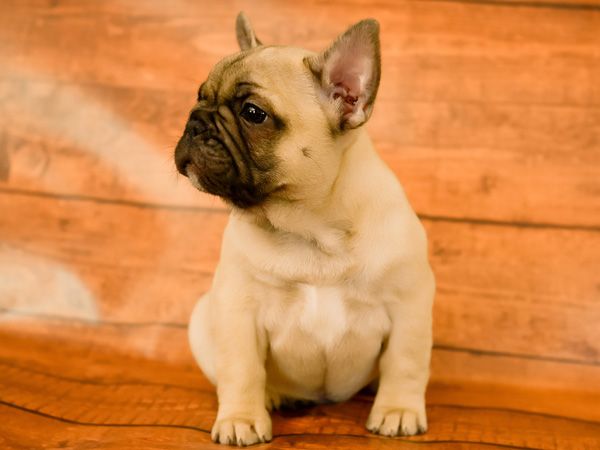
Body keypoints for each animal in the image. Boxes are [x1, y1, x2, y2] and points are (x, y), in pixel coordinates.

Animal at [174, 12, 435, 446]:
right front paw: (242, 418)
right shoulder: (237, 309)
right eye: (199, 95)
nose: (194, 123)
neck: (311, 228)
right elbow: (241, 369)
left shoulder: (409, 305)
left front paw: (398, 410)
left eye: (253, 113)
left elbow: (406, 362)